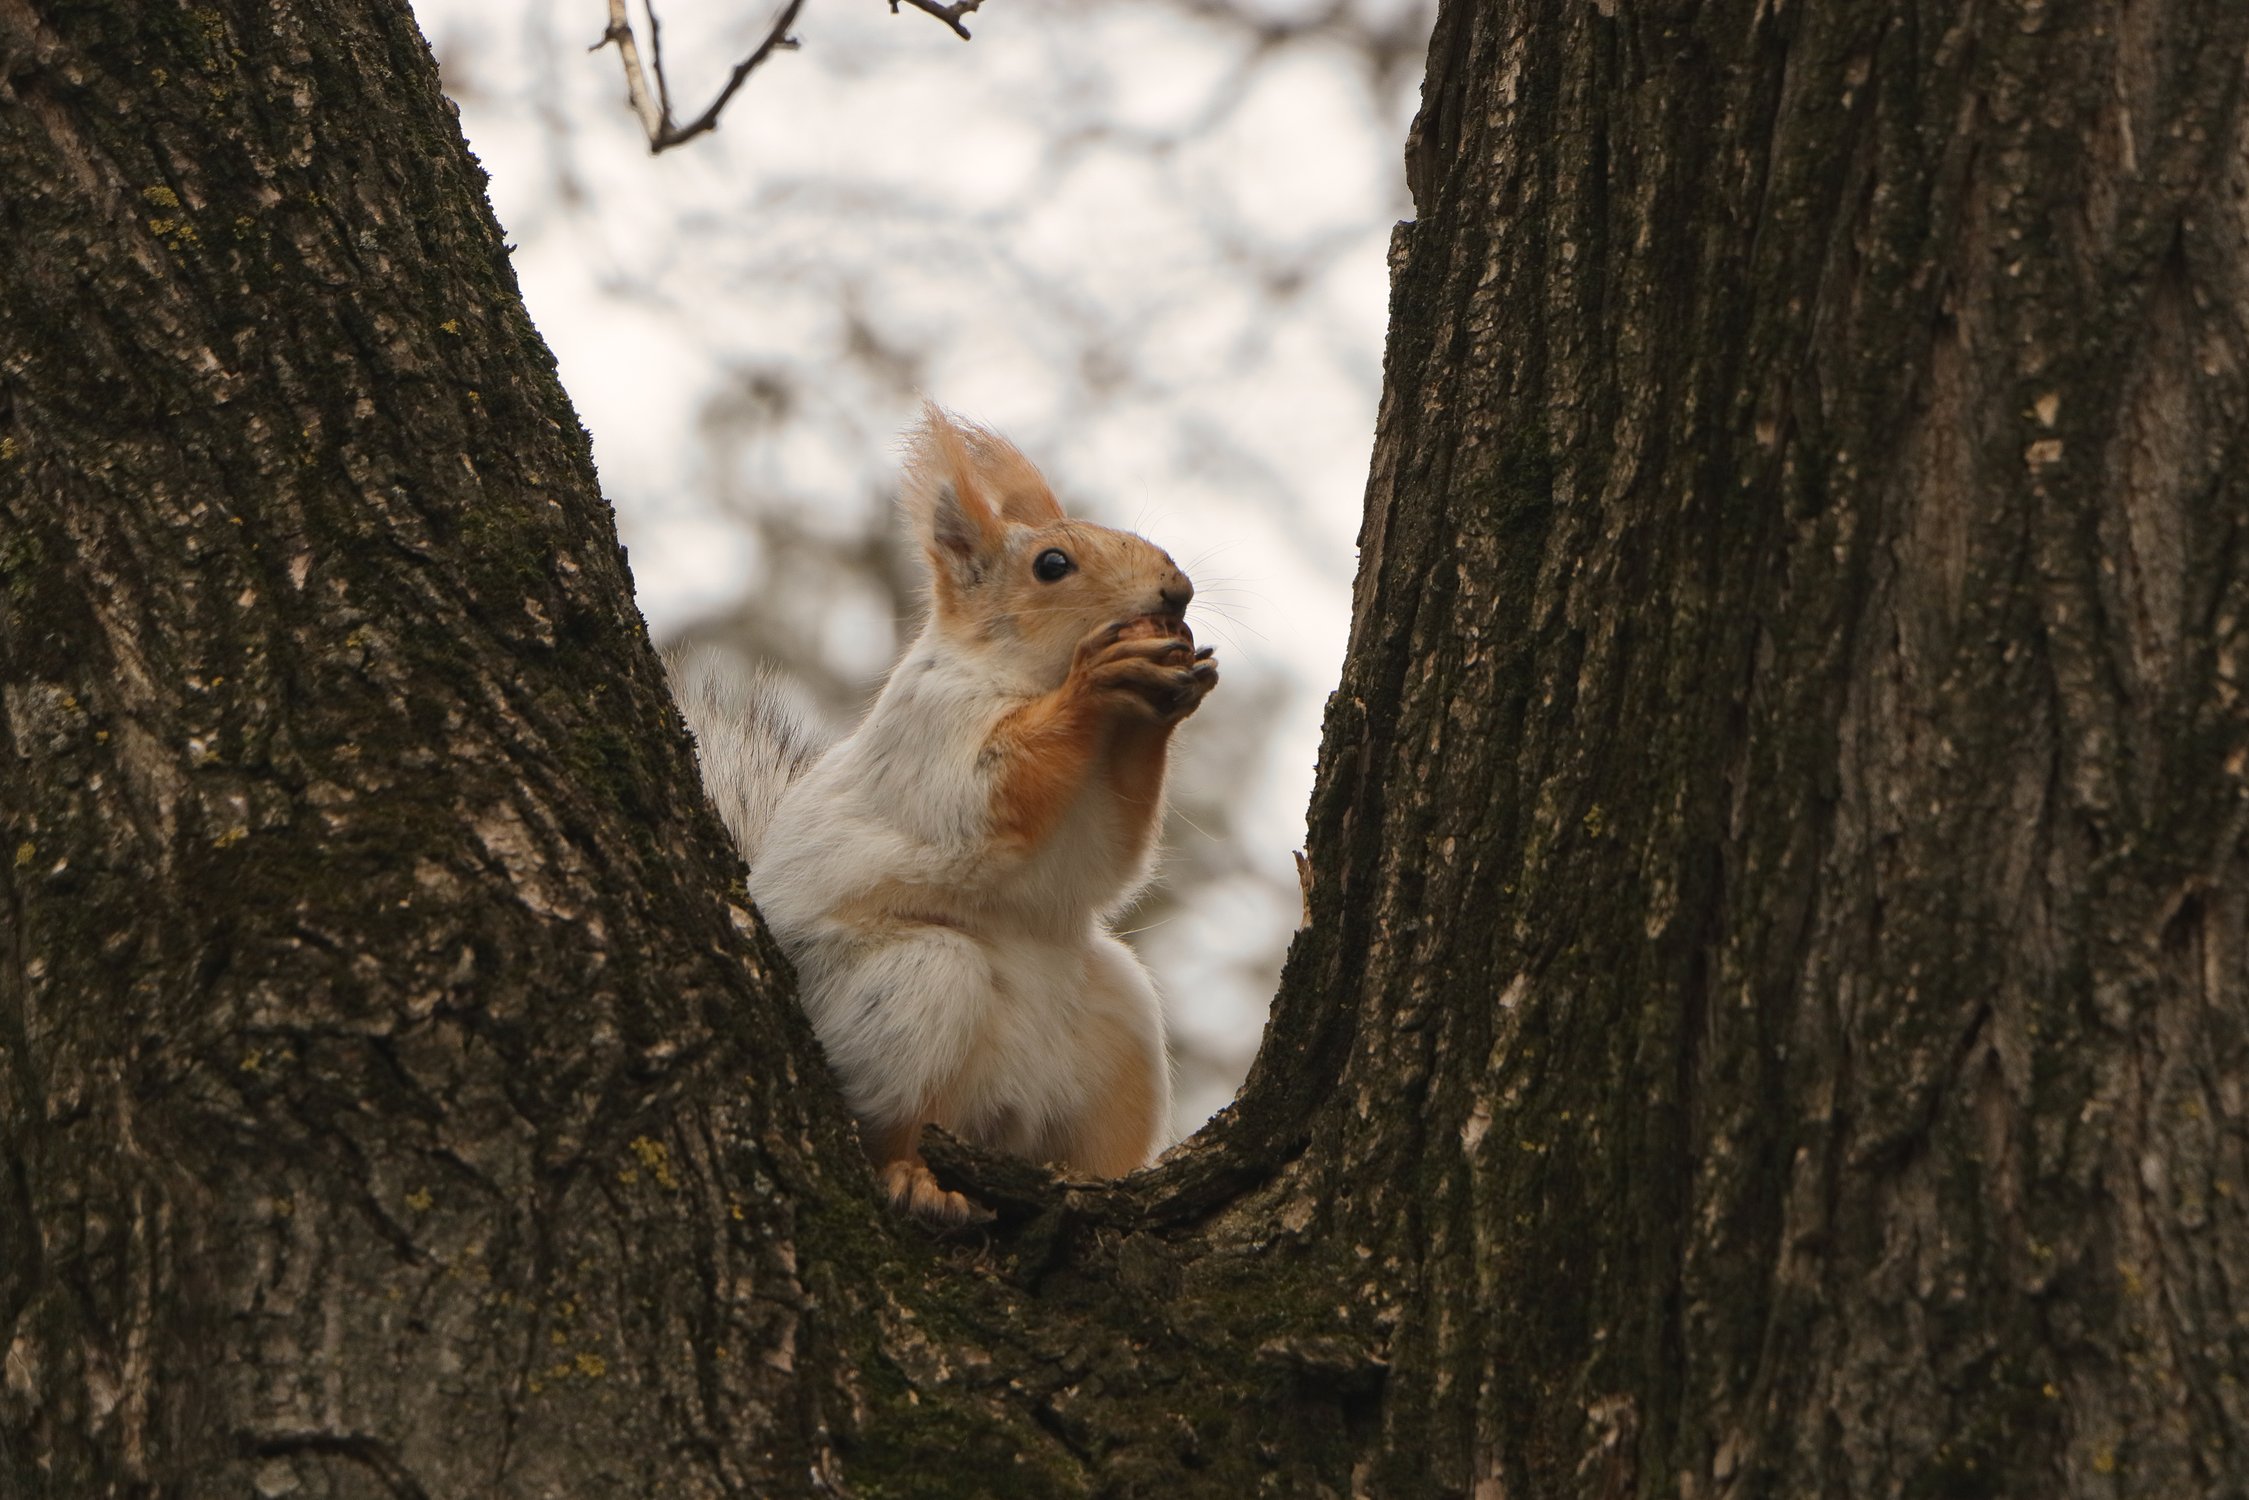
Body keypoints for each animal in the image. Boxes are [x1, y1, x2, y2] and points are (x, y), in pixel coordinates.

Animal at [674, 407, 1223, 1223]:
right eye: (1052, 565)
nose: (1177, 591)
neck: (1026, 677)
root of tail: (997, 1112)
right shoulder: (929, 733)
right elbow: (986, 799)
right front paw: (1101, 682)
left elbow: (1109, 853)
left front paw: (1171, 689)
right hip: (910, 989)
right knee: (894, 1123)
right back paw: (913, 1177)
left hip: (1119, 1030)